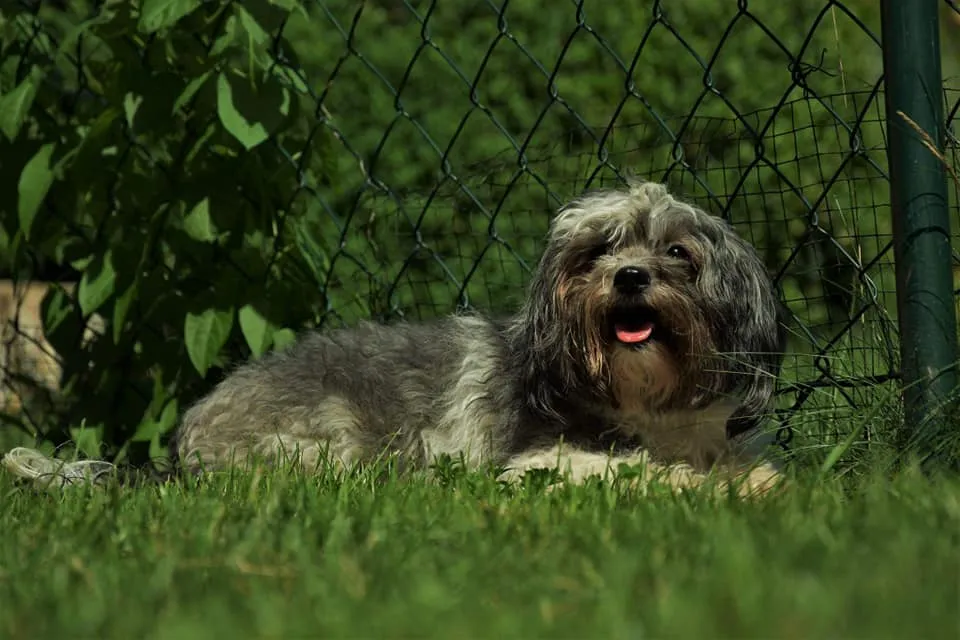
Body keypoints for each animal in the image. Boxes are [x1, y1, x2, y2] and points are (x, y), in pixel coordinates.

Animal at [165, 180, 792, 496]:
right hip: (329, 445)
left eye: (678, 252)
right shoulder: (537, 461)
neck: (643, 400)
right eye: (597, 253)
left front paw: (753, 479)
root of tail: (191, 427)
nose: (630, 276)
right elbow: (637, 469)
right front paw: (703, 485)